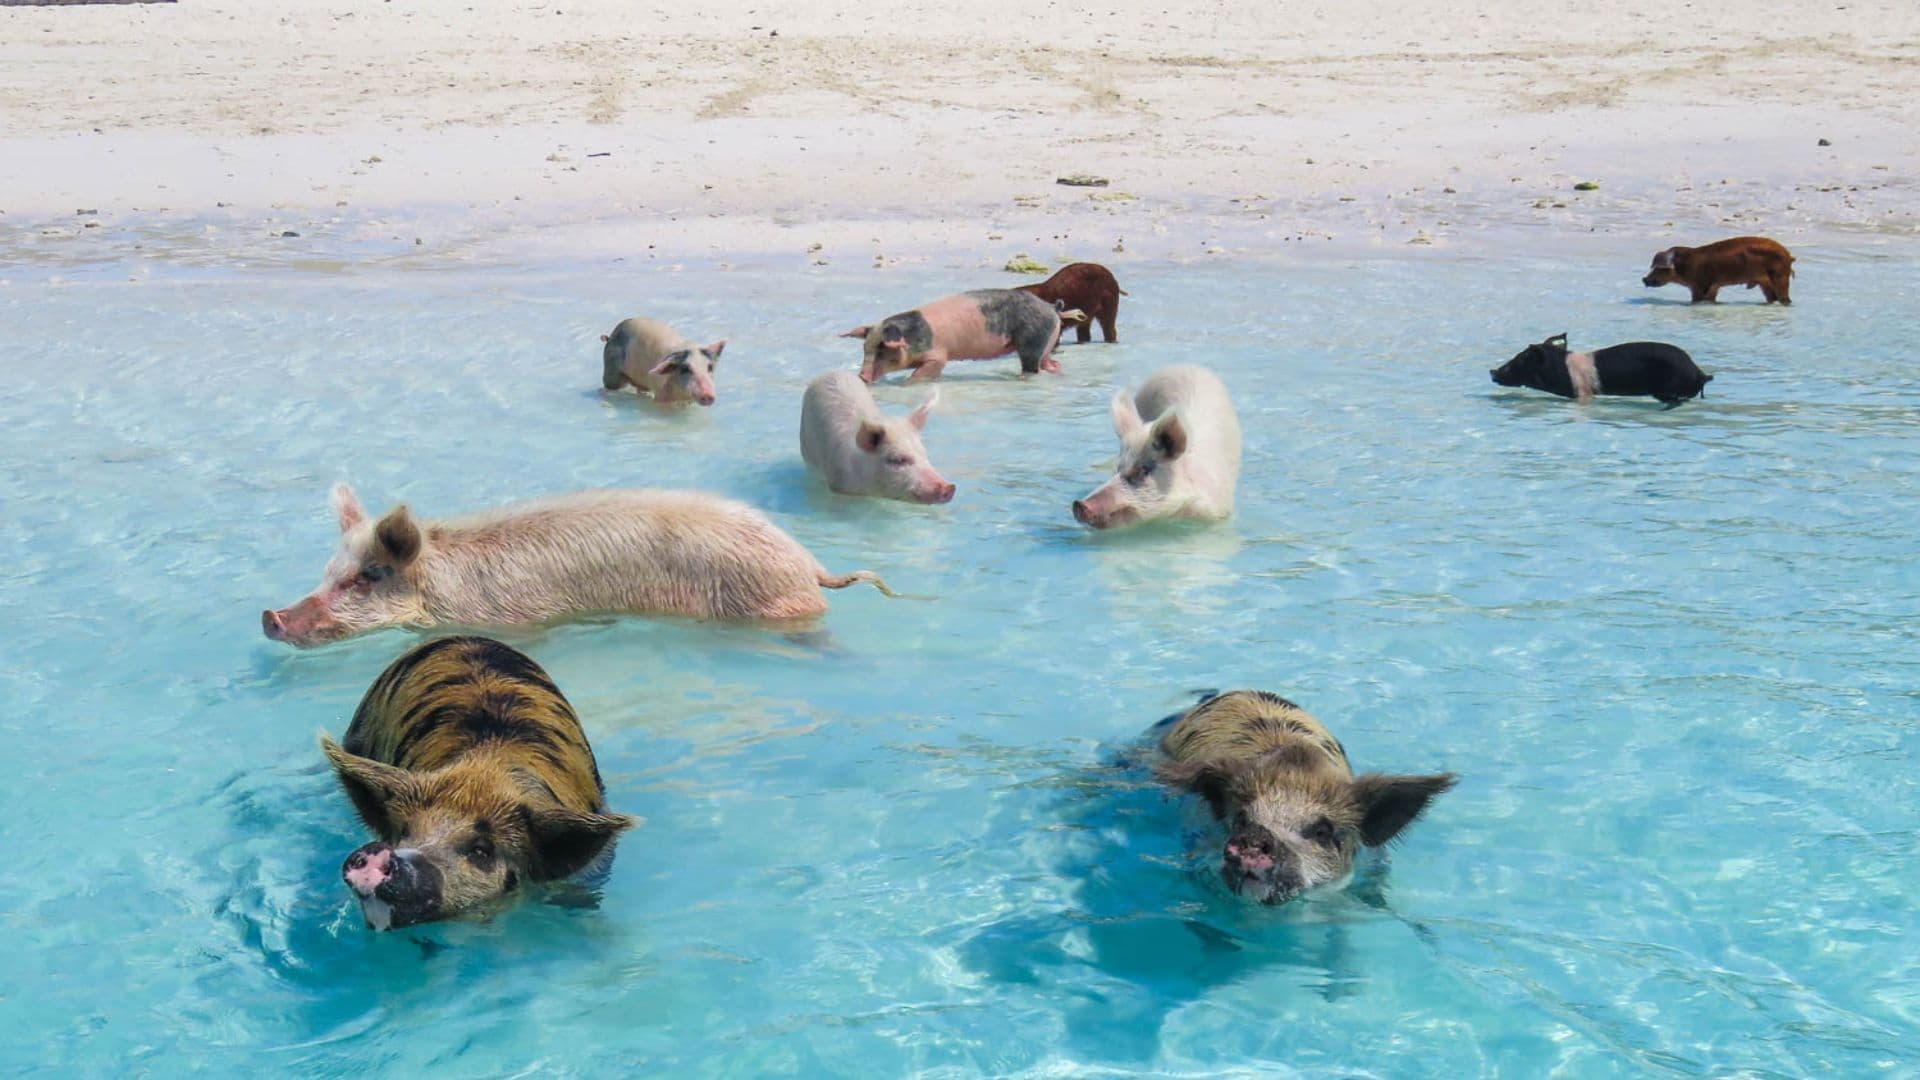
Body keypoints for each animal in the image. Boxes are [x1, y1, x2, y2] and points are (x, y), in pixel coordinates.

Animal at [839, 288, 1085, 383]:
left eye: (882, 349)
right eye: (865, 349)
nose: (862, 377)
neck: (912, 338)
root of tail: (1052, 308)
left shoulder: (938, 356)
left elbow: (921, 376)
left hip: (1032, 341)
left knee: (1033, 368)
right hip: (1046, 344)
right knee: (1053, 365)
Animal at [1642, 236, 1795, 304]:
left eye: (1658, 268)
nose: (1644, 279)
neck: (1684, 267)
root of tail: (1789, 256)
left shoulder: (1700, 285)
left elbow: (1697, 300)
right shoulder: (1714, 286)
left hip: (1780, 277)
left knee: (1784, 298)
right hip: (1765, 284)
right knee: (1772, 297)